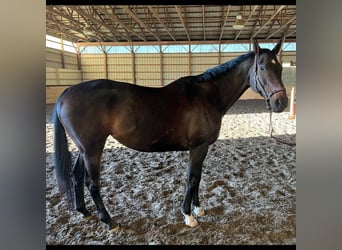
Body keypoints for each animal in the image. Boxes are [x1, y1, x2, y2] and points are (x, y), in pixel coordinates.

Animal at [53, 39, 288, 232]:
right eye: (262, 67)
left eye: (280, 68)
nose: (281, 102)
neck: (208, 96)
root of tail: (66, 93)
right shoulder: (198, 147)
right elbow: (191, 179)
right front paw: (188, 216)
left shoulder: (202, 148)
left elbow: (198, 178)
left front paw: (198, 208)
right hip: (93, 150)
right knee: (92, 184)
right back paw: (109, 222)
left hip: (84, 149)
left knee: (76, 175)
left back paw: (84, 212)